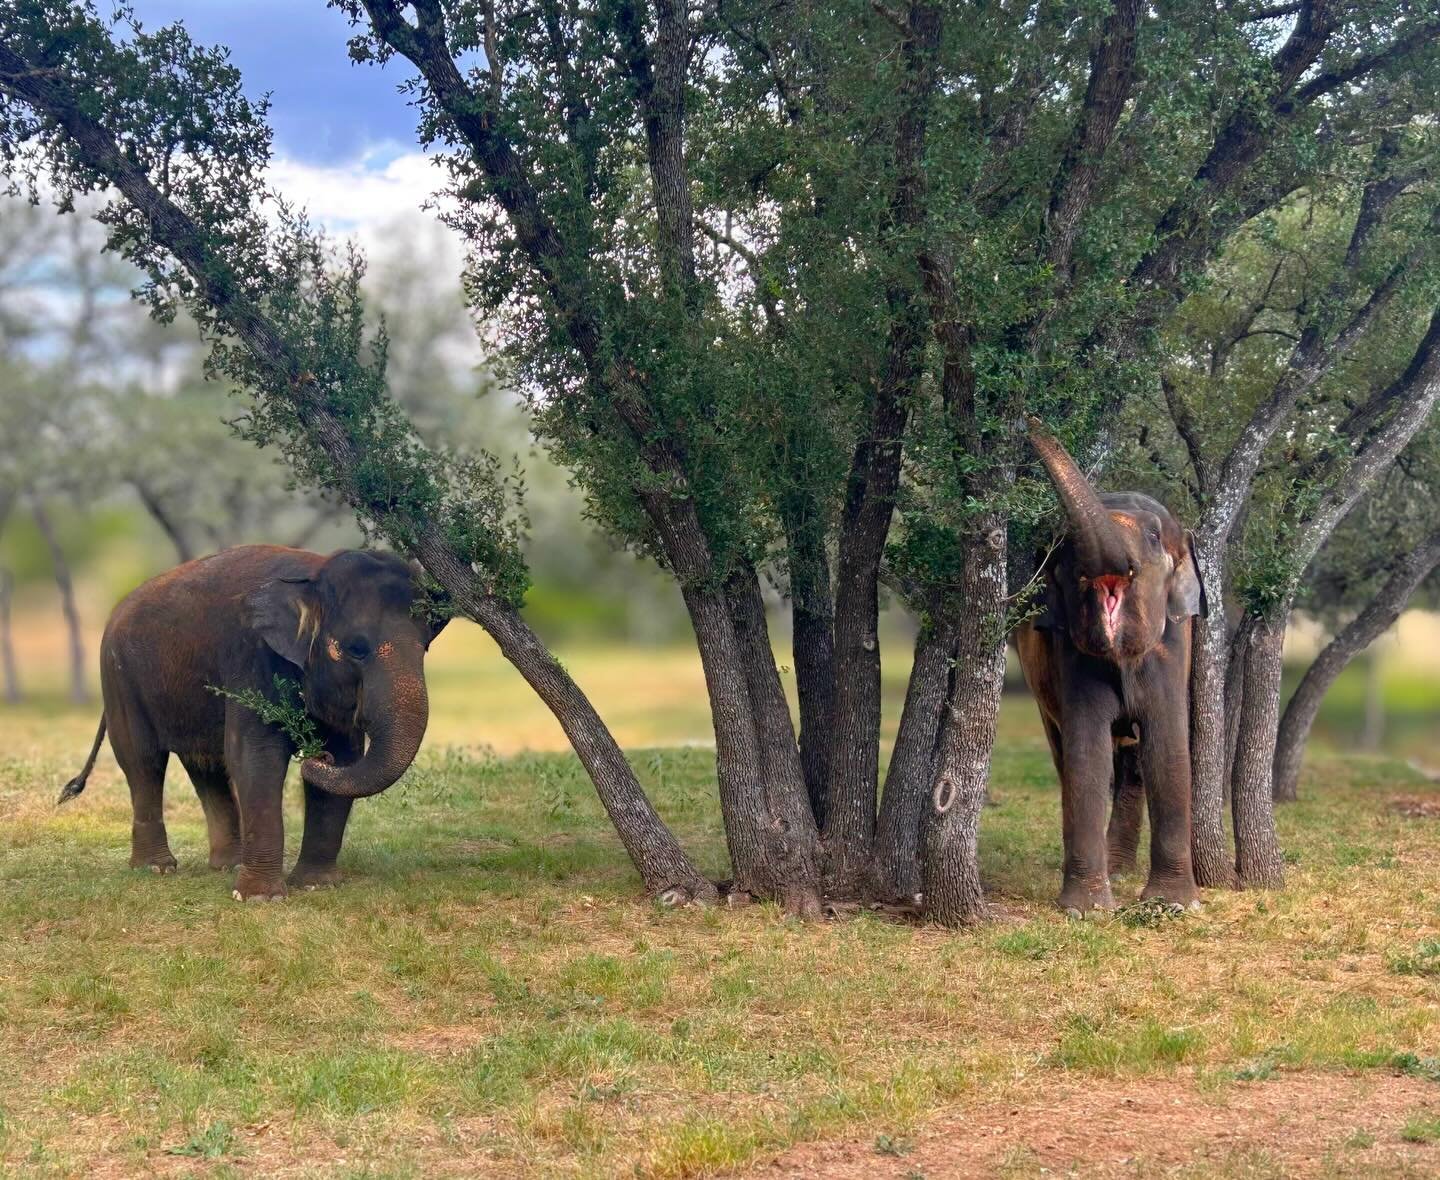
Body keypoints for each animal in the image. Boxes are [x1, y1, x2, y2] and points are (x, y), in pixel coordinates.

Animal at [59, 546, 447, 900]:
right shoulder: (251, 658)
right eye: (357, 648)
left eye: (426, 647)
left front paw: (316, 885)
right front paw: (260, 898)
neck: (314, 573)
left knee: (205, 766)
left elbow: (346, 756)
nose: (315, 758)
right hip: (119, 678)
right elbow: (256, 757)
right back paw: (156, 868)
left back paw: (227, 864)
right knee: (142, 761)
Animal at [1015, 420, 1207, 916]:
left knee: (1133, 763)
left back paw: (1120, 870)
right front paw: (1085, 910)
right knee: (1067, 756)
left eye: (1155, 537)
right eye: (1063, 549)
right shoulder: (1068, 654)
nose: (1029, 419)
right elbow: (1087, 752)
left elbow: (1167, 750)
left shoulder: (1173, 645)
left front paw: (1174, 906)